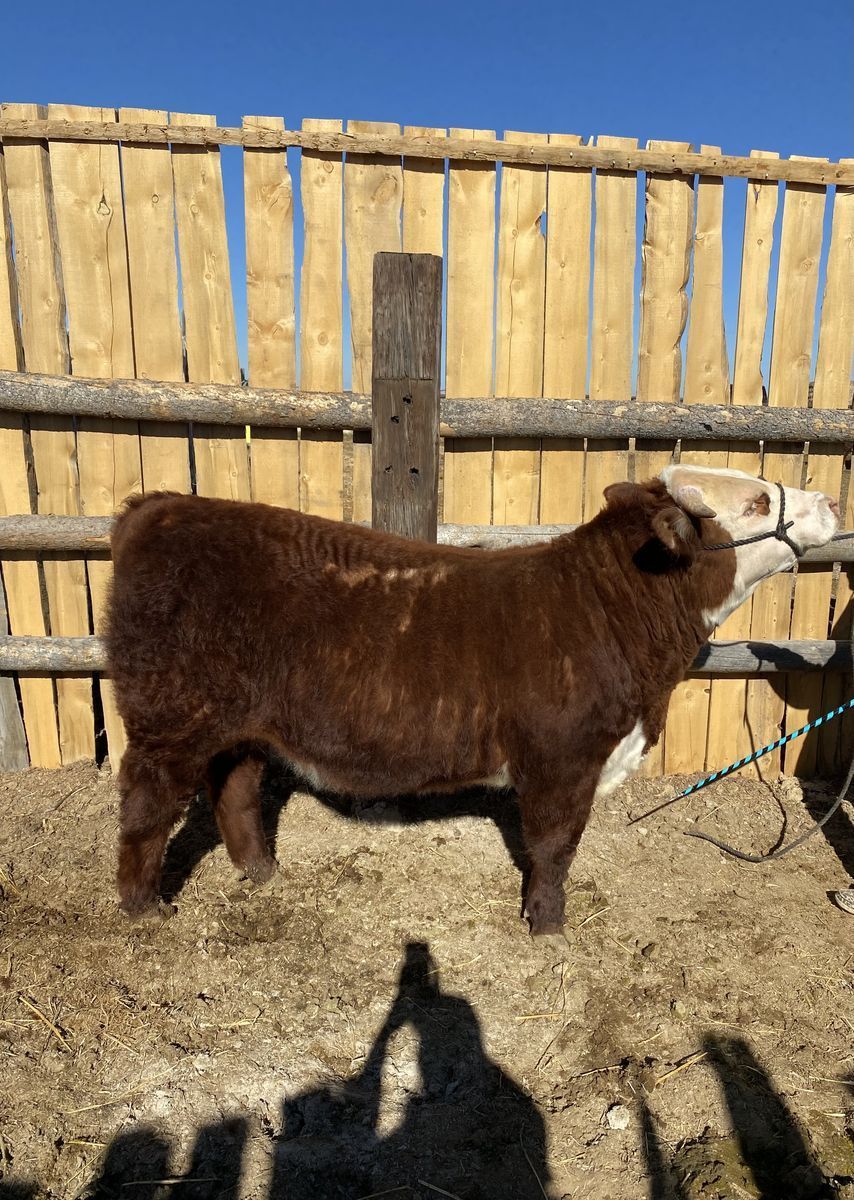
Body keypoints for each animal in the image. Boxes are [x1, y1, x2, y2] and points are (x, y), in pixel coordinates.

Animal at [105, 466, 839, 935]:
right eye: (753, 503)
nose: (831, 500)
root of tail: (158, 507)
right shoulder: (562, 758)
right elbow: (554, 846)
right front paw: (548, 926)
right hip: (167, 720)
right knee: (147, 806)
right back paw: (145, 908)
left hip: (242, 724)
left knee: (236, 788)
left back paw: (261, 873)